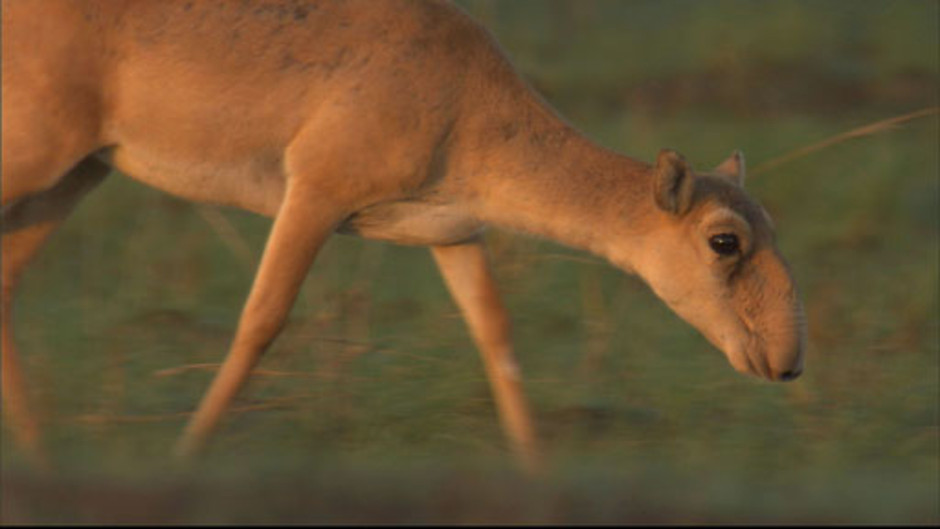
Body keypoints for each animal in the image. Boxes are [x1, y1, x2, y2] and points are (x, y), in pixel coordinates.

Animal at [3, 0, 804, 470]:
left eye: (771, 225)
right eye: (724, 241)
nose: (789, 362)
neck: (470, 99)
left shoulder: (453, 234)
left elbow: (497, 336)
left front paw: (538, 470)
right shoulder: (316, 195)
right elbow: (261, 320)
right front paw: (184, 455)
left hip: (79, 175)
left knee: (6, 285)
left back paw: (41, 454)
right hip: (39, 161)